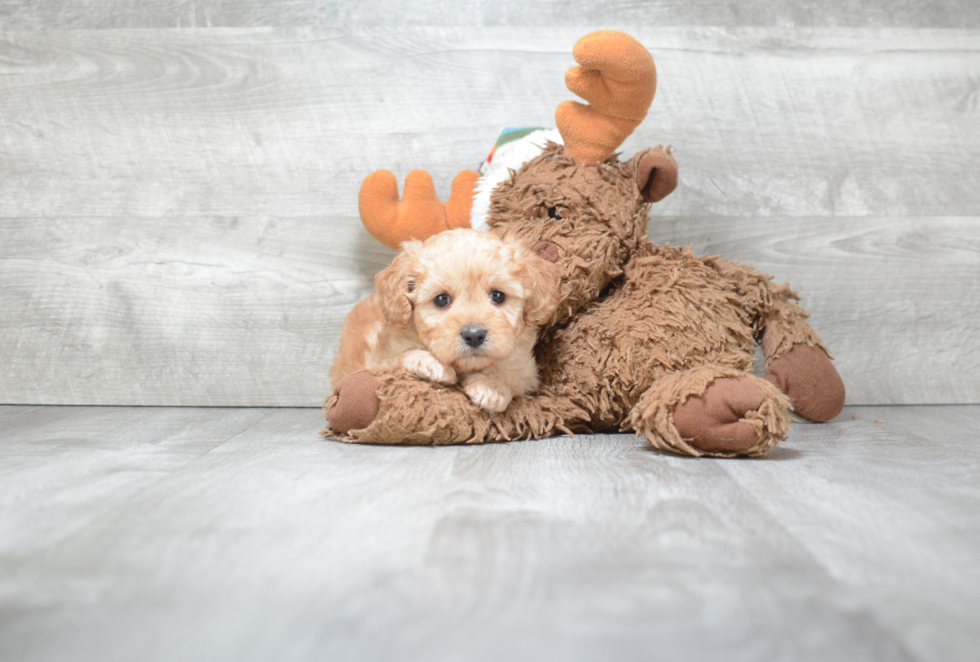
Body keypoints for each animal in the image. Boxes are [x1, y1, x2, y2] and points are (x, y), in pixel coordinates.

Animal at [330, 231, 560, 412]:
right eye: (442, 299)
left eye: (498, 296)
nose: (474, 335)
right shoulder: (374, 362)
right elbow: (398, 357)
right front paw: (430, 363)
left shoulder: (526, 371)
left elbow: (508, 371)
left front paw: (491, 388)